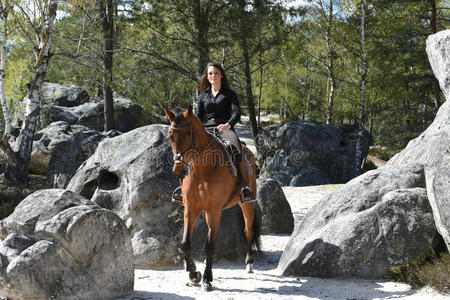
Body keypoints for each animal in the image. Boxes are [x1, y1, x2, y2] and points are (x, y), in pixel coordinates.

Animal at [163, 105, 260, 290]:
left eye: (188, 135)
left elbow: (209, 245)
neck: (203, 169)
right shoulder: (190, 209)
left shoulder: (214, 211)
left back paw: (250, 263)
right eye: (171, 135)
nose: (178, 170)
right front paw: (194, 275)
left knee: (248, 231)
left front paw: (207, 278)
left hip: (247, 205)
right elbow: (185, 243)